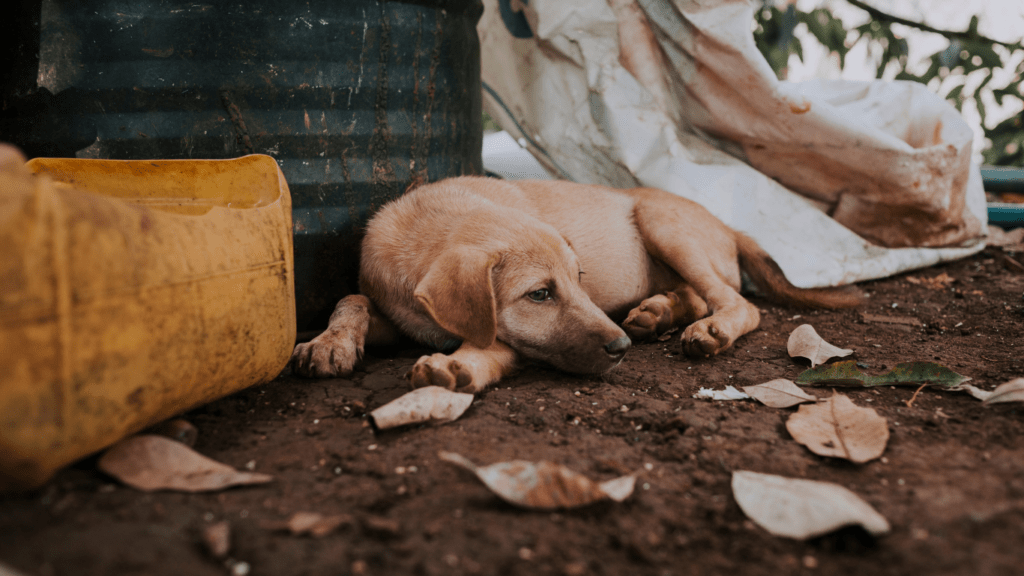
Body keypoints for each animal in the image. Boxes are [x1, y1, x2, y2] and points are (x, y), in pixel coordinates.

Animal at [292, 175, 860, 389]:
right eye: (540, 294)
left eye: (579, 279)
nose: (621, 348)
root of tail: (728, 226)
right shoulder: (400, 313)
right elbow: (352, 298)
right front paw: (330, 342)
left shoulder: (509, 340)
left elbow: (491, 345)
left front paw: (458, 366)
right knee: (701, 296)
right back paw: (658, 312)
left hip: (662, 222)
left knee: (737, 302)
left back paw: (705, 330)